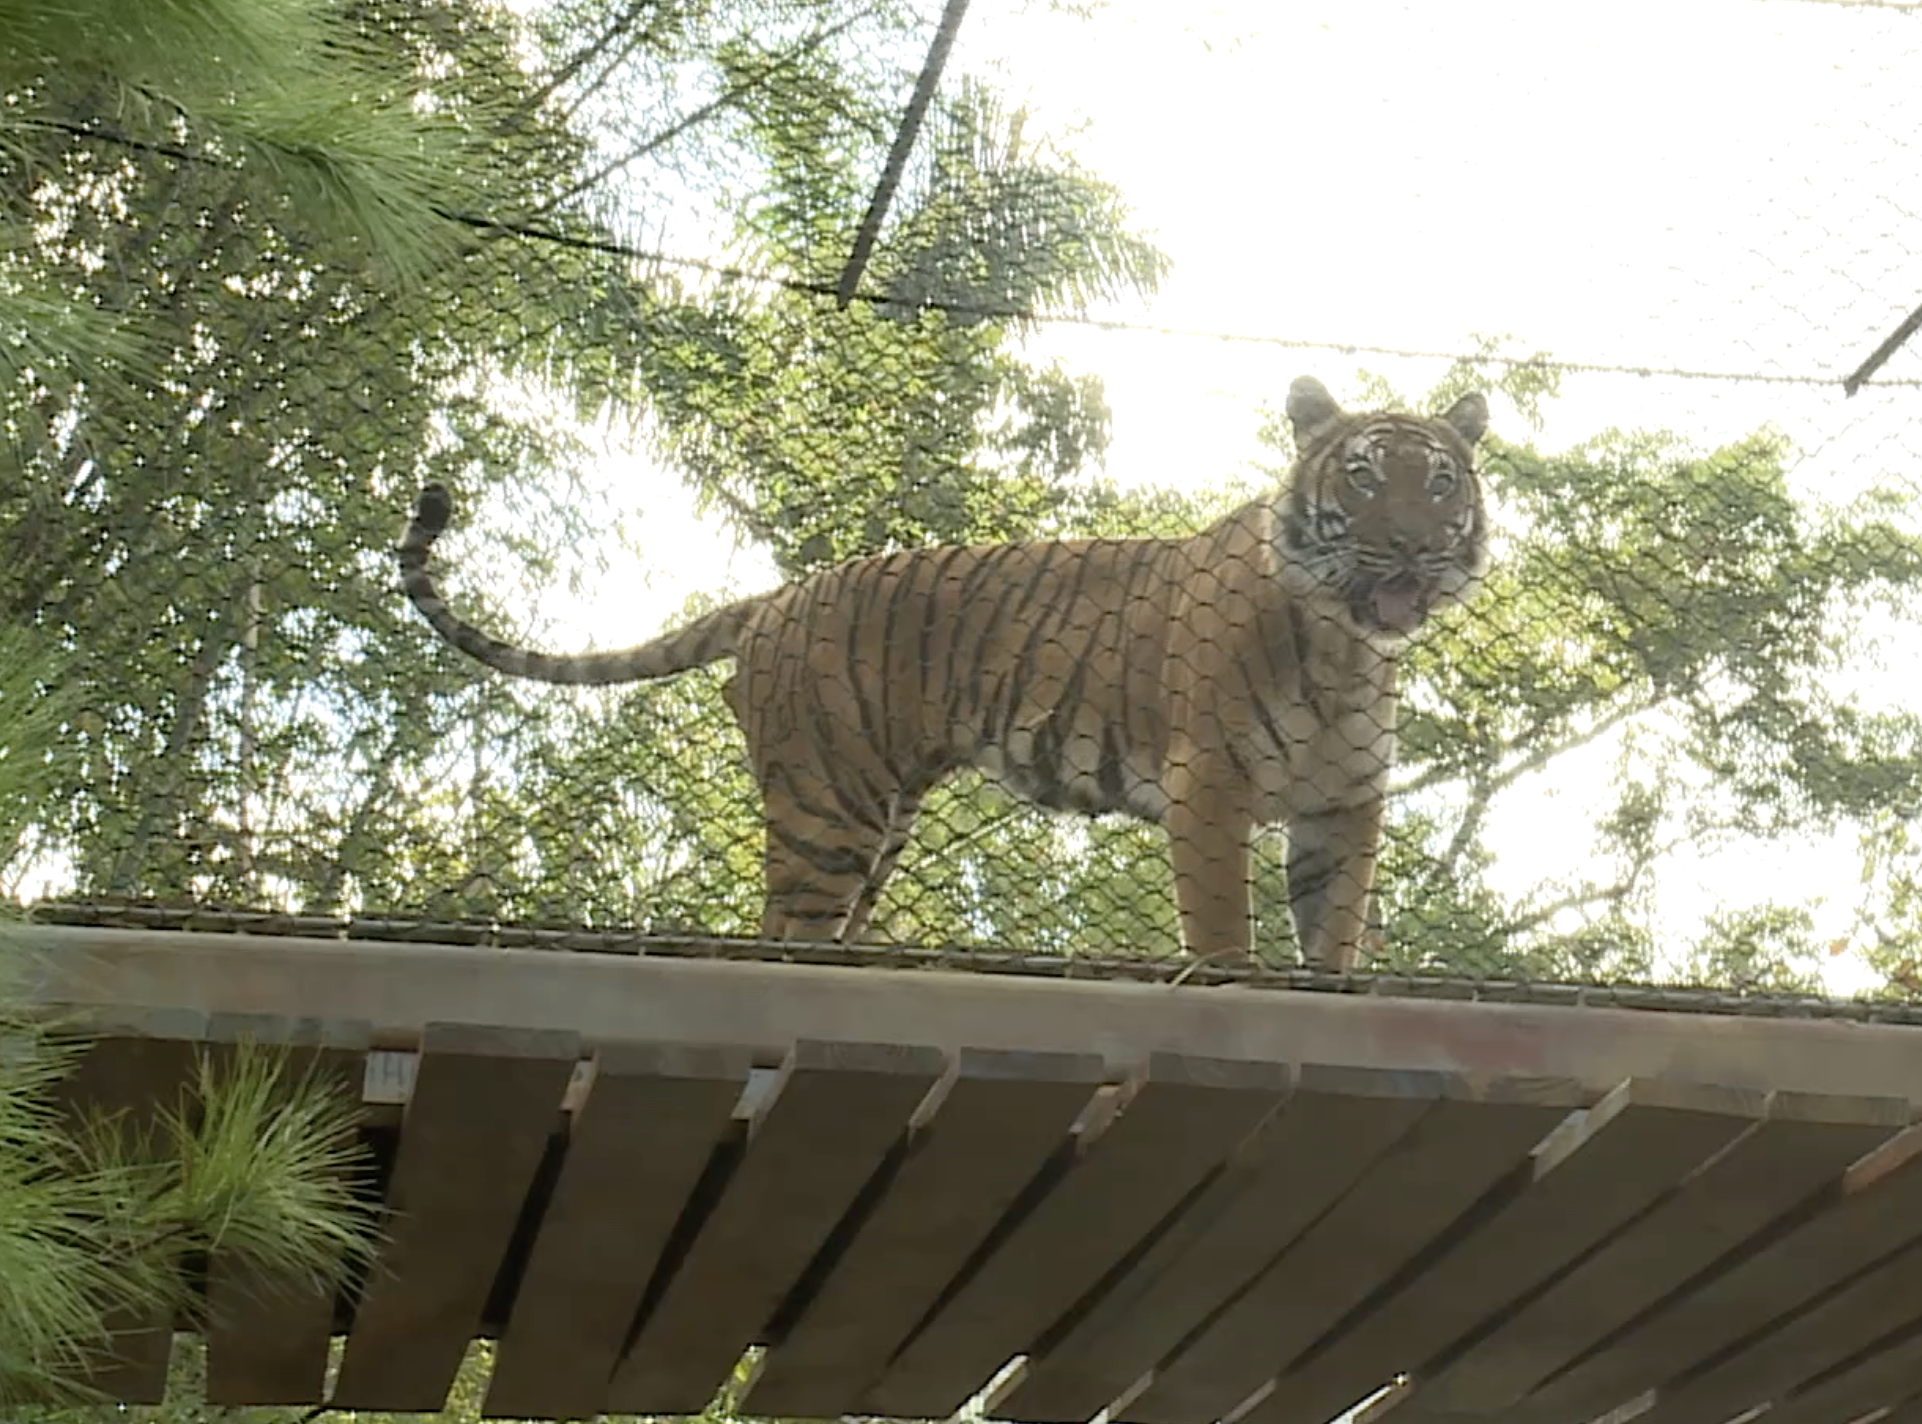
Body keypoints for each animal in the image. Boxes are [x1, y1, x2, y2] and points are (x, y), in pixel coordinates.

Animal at [398, 375, 1490, 971]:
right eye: (1362, 477)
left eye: (1439, 484)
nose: (1411, 544)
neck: (1347, 642)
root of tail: (775, 597)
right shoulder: (1209, 785)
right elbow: (1224, 930)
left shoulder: (1342, 803)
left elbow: (1334, 934)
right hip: (825, 806)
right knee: (776, 931)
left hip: (871, 817)